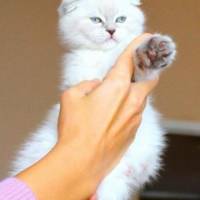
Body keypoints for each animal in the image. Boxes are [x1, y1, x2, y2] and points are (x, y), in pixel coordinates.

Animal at [11, 0, 176, 199]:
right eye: (96, 20)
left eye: (121, 19)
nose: (111, 30)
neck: (102, 53)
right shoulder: (86, 77)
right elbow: (116, 65)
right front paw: (148, 52)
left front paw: (154, 51)